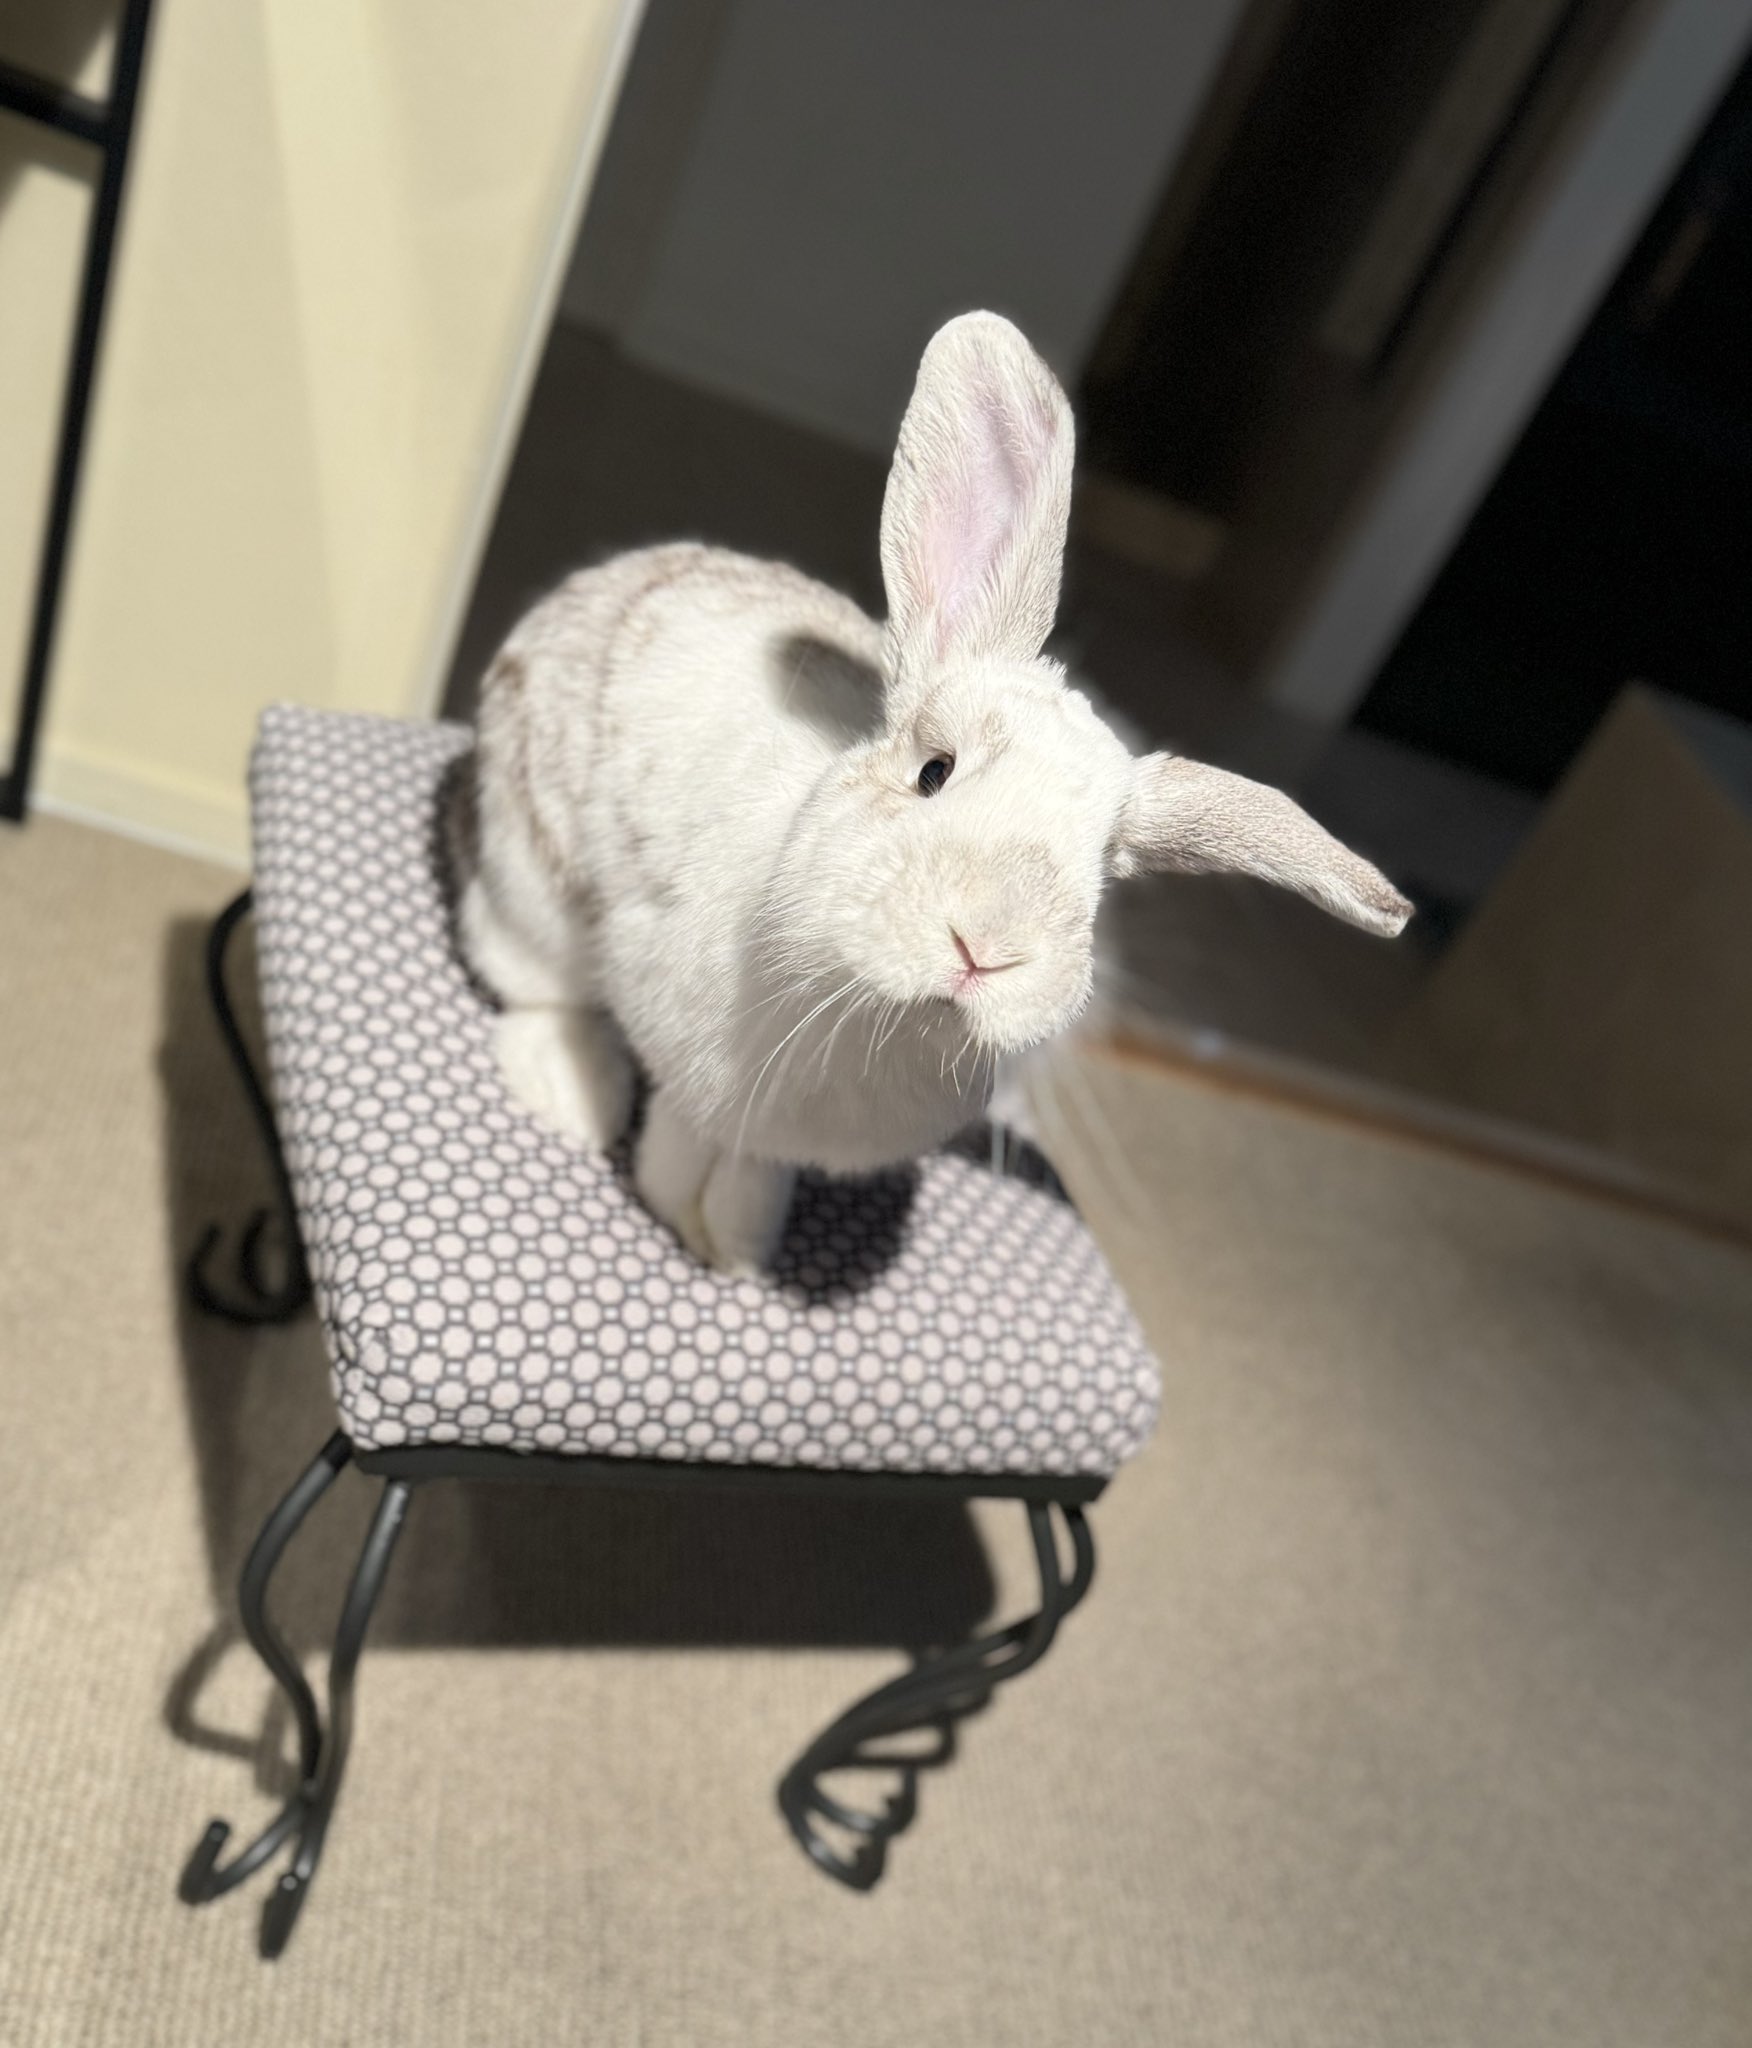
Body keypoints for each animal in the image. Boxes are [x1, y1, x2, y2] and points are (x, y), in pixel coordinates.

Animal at [453, 311, 1412, 1273]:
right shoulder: (689, 1053)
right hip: (532, 877)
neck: (879, 1012)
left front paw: (742, 1239)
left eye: (1102, 875)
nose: (985, 948)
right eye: (933, 772)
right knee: (531, 974)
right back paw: (563, 1086)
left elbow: (748, 1164)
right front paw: (686, 1215)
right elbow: (688, 1140)